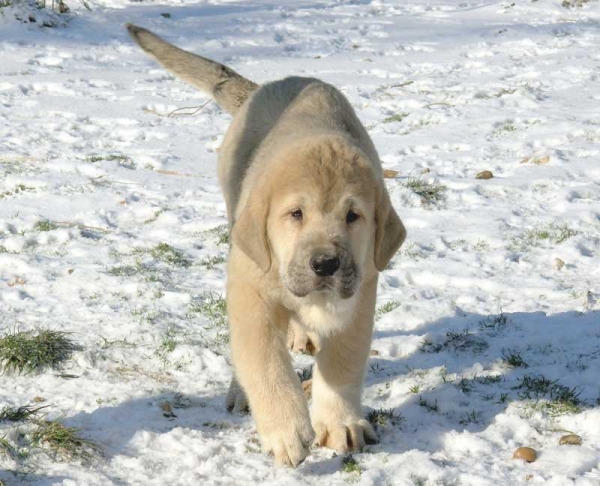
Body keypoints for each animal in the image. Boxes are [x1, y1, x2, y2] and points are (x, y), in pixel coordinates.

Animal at [128, 25, 406, 468]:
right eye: (295, 214)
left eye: (353, 216)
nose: (325, 264)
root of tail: (263, 88)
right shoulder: (250, 289)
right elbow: (264, 361)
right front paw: (286, 431)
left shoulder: (360, 293)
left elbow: (343, 362)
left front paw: (341, 423)